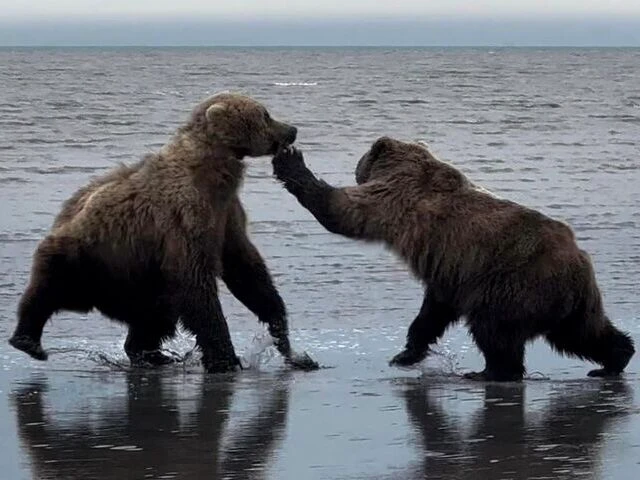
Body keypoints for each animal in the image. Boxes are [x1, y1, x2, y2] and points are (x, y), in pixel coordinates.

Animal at [8, 92, 319, 373]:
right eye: (265, 114)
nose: (292, 129)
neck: (213, 173)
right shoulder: (186, 216)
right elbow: (196, 281)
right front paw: (226, 358)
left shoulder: (226, 214)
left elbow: (245, 269)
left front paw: (283, 333)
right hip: (90, 257)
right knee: (47, 289)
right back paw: (28, 340)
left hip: (142, 280)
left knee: (156, 315)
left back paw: (151, 354)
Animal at [270, 138, 635, 381]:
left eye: (361, 161)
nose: (355, 166)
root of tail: (577, 262)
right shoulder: (450, 273)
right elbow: (432, 314)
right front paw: (406, 354)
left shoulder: (396, 201)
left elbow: (342, 211)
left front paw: (290, 161)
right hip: (570, 301)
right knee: (581, 334)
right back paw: (615, 359)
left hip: (511, 283)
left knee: (494, 329)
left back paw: (492, 372)